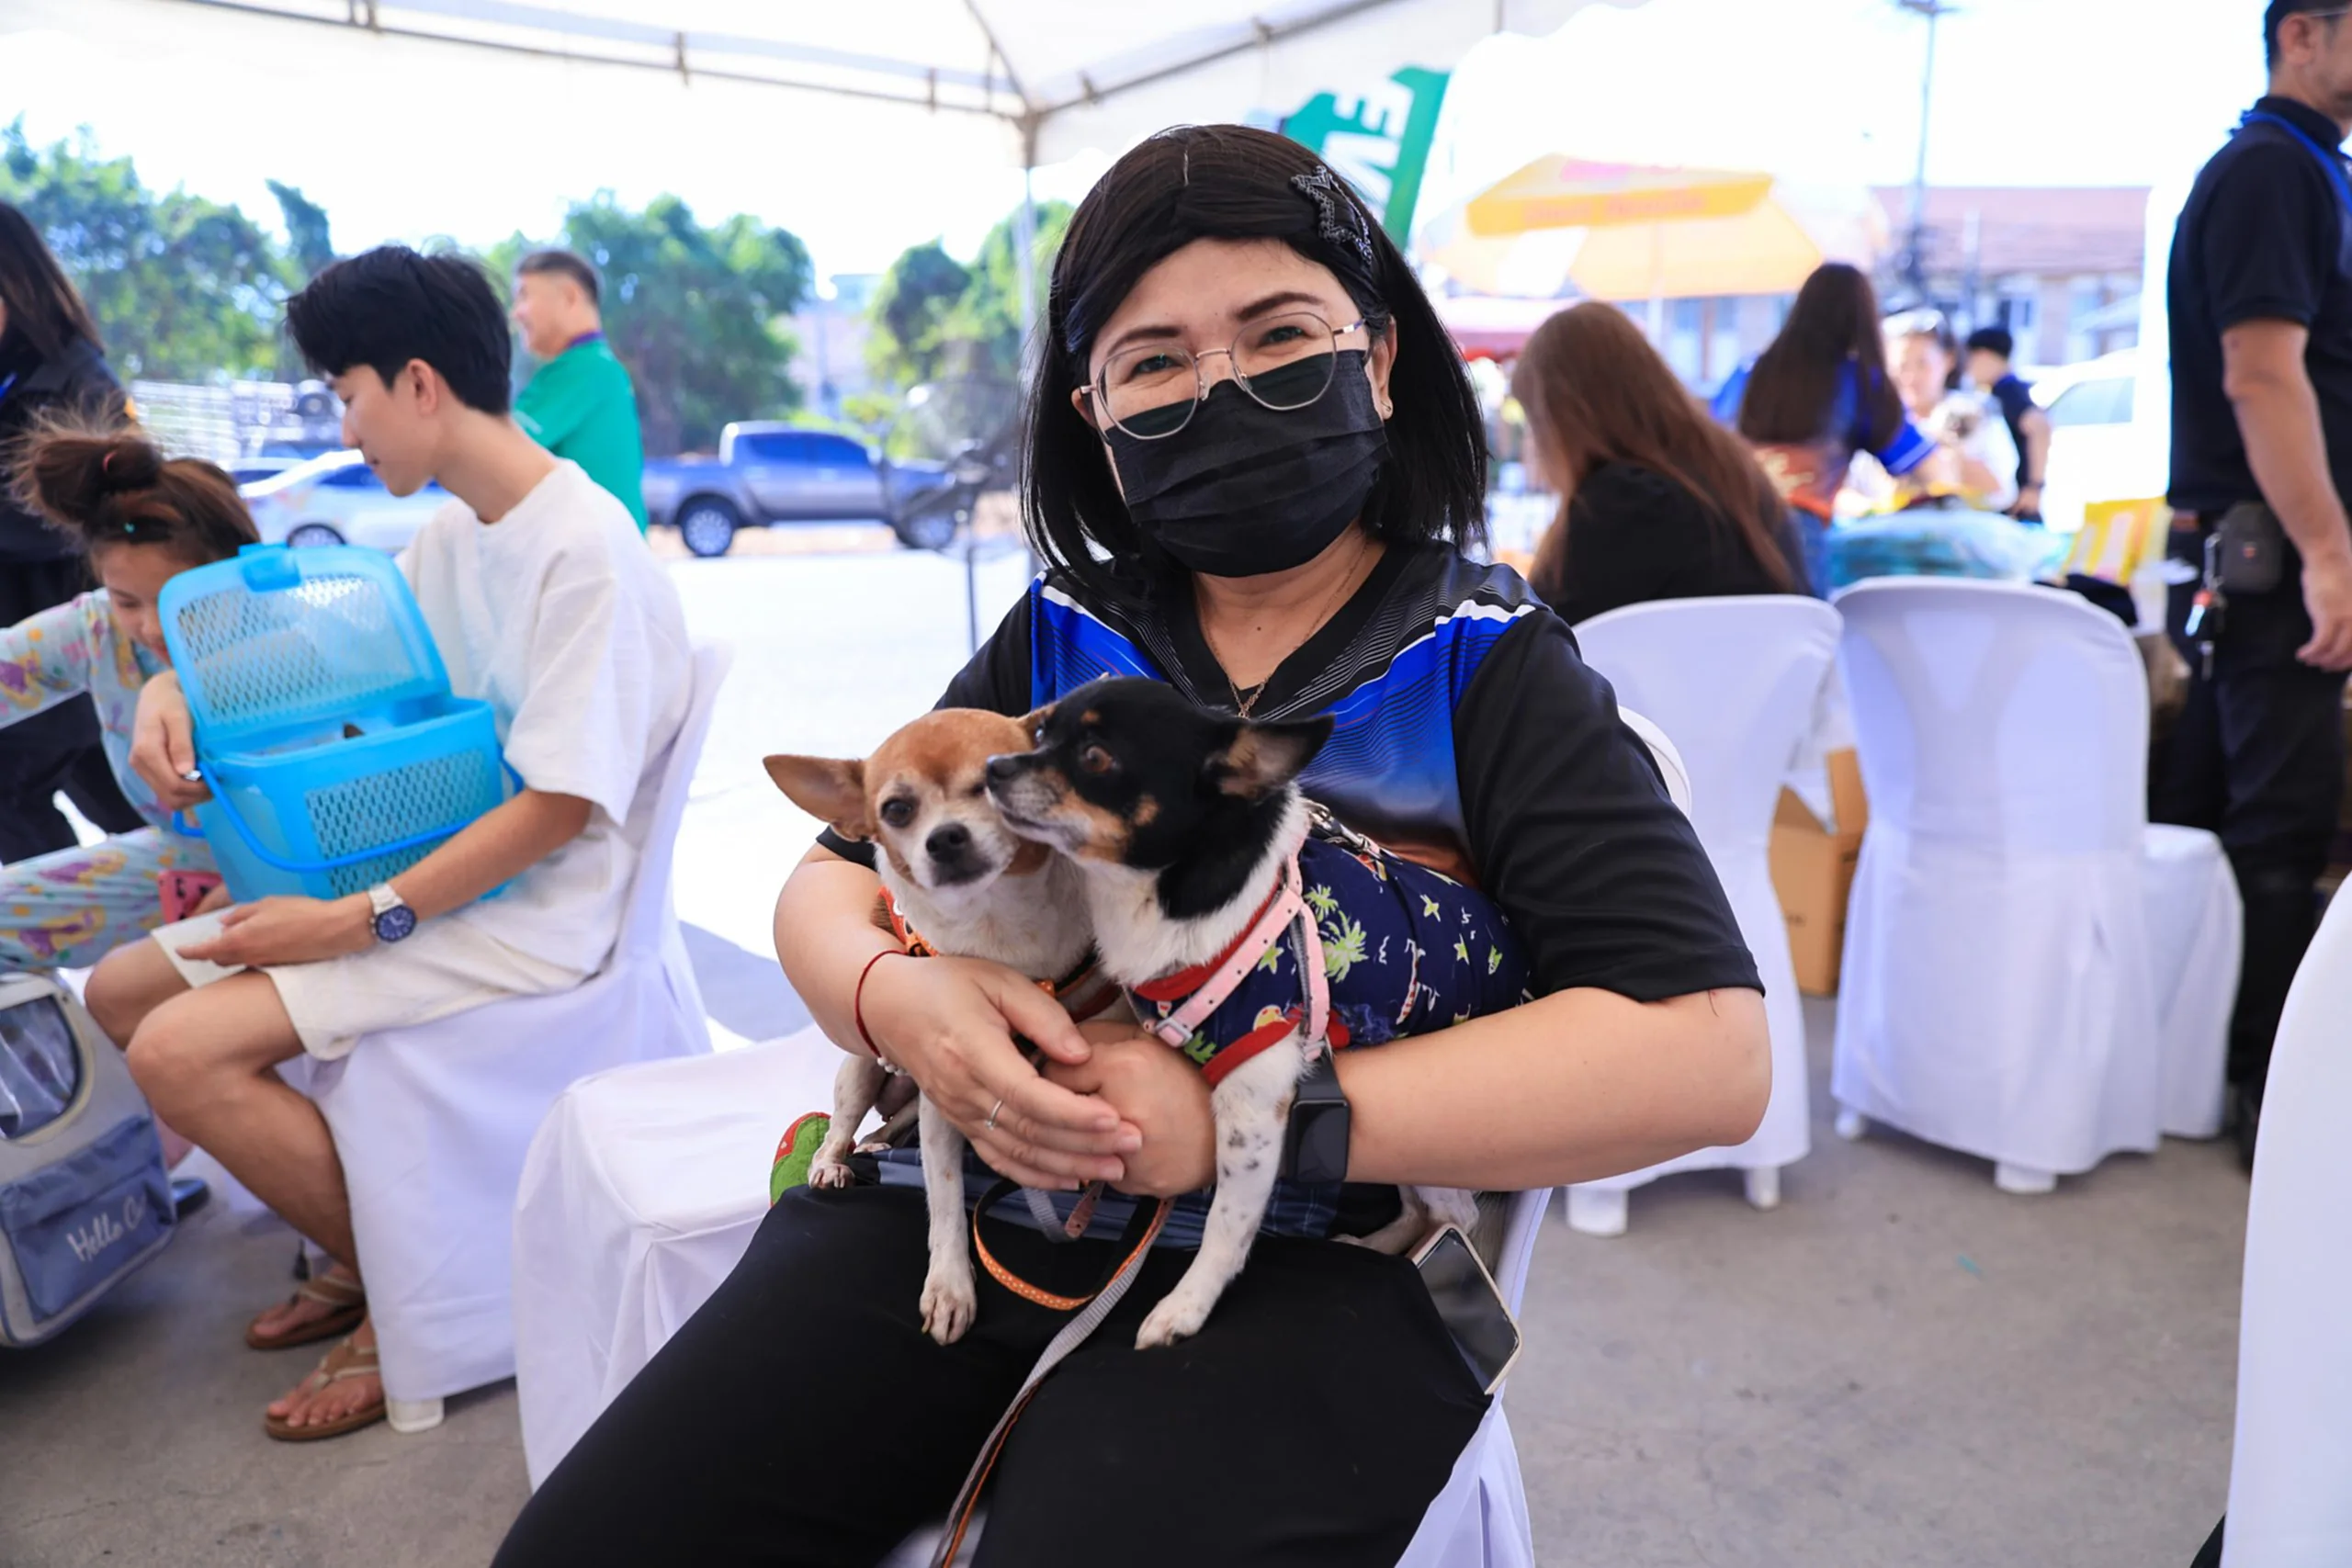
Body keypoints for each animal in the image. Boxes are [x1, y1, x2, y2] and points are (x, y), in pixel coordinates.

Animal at [766, 708, 1098, 1346]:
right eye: (896, 809)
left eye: (996, 781)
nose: (945, 838)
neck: (999, 925)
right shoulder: (949, 1090)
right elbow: (944, 1198)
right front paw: (950, 1286)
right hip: (862, 1067)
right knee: (846, 1121)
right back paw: (832, 1162)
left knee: (891, 1126)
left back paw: (878, 1143)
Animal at [983, 677, 1531, 1349]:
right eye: (1040, 733)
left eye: (1095, 757)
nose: (993, 766)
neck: (1159, 896)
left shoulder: (1252, 1112)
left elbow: (1226, 1225)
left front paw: (1185, 1306)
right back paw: (1377, 1243)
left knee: (1455, 1210)